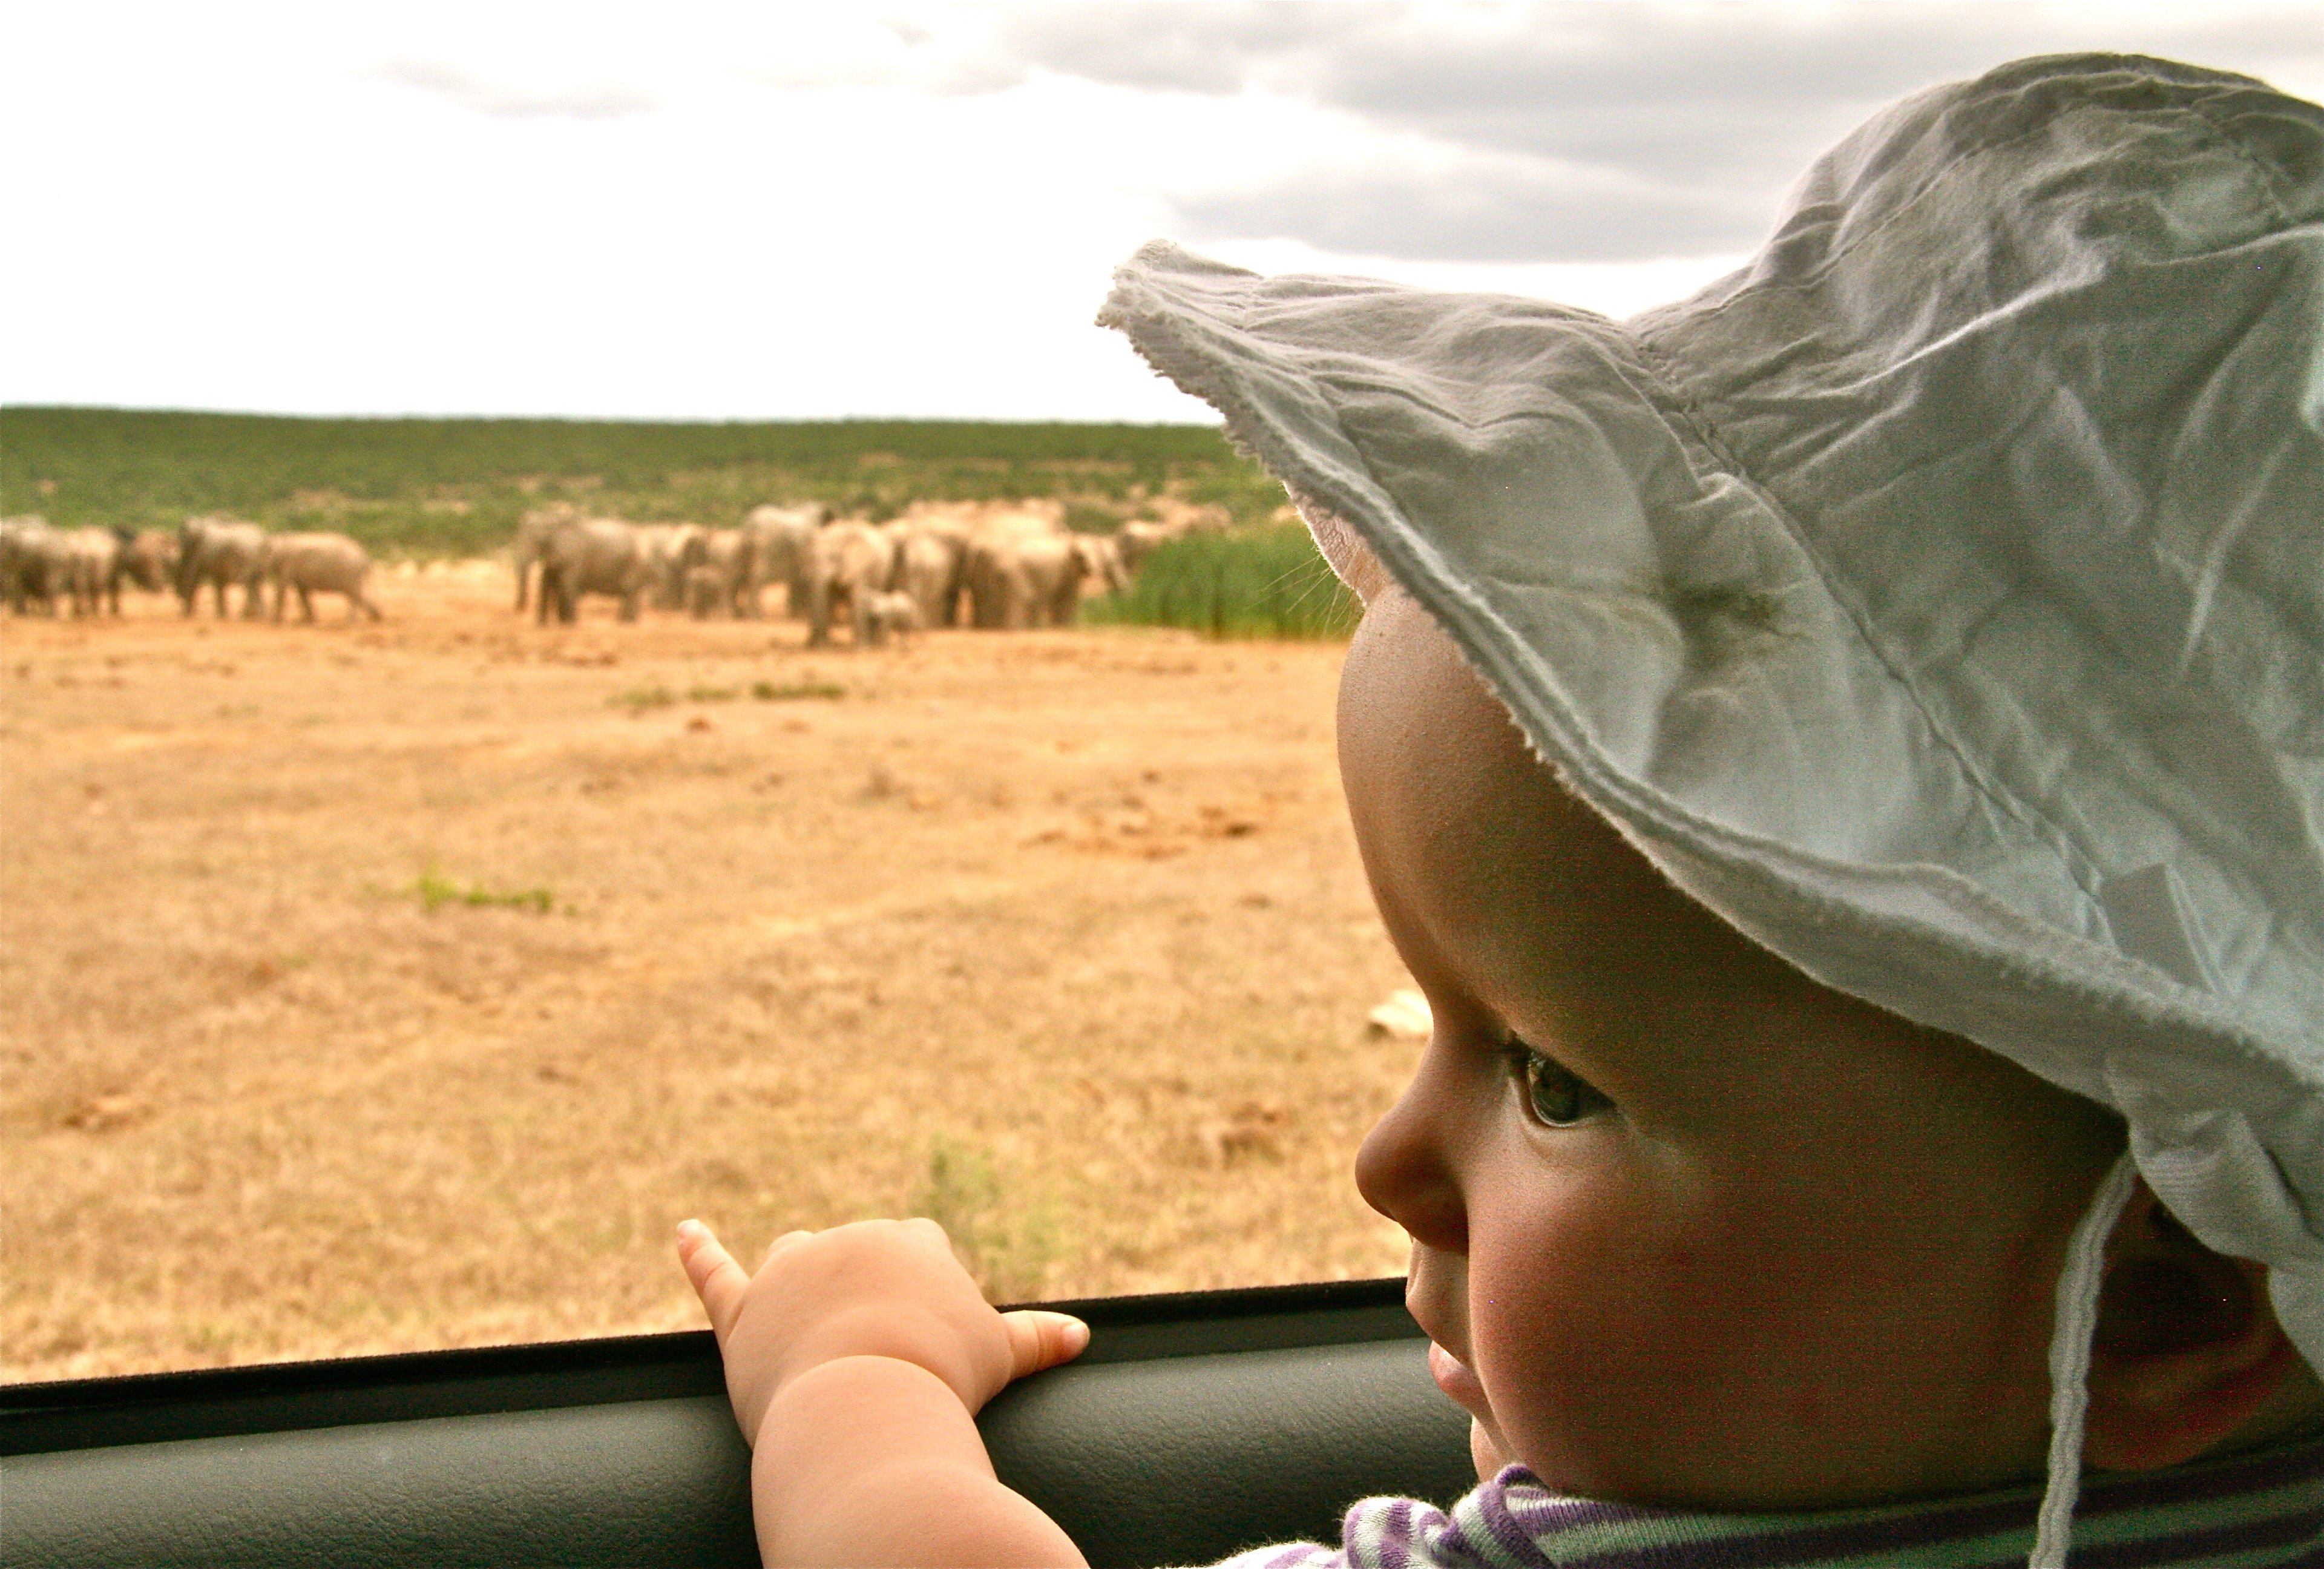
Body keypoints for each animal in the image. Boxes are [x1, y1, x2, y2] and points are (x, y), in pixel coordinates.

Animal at [173, 511, 268, 618]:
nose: (179, 595)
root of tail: (263, 540)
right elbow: (219, 580)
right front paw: (222, 615)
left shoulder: (199, 551)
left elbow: (194, 575)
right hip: (259, 562)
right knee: (257, 582)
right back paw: (260, 615)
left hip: (247, 557)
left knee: (248, 583)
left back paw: (246, 615)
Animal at [263, 530, 381, 623]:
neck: (280, 539)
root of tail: (366, 558)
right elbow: (302, 591)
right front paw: (309, 621)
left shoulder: (288, 563)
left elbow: (282, 588)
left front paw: (275, 622)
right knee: (357, 595)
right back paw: (376, 617)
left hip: (351, 572)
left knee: (355, 595)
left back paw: (353, 621)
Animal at [532, 508, 646, 618]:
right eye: (543, 546)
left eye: (541, 544)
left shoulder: (574, 560)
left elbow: (568, 588)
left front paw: (569, 621)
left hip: (631, 567)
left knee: (629, 592)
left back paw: (625, 621)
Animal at [809, 518, 897, 646]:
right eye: (812, 558)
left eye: (834, 557)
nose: (812, 643)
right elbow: (828, 598)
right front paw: (823, 645)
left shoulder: (860, 567)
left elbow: (857, 598)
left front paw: (862, 647)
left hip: (885, 573)